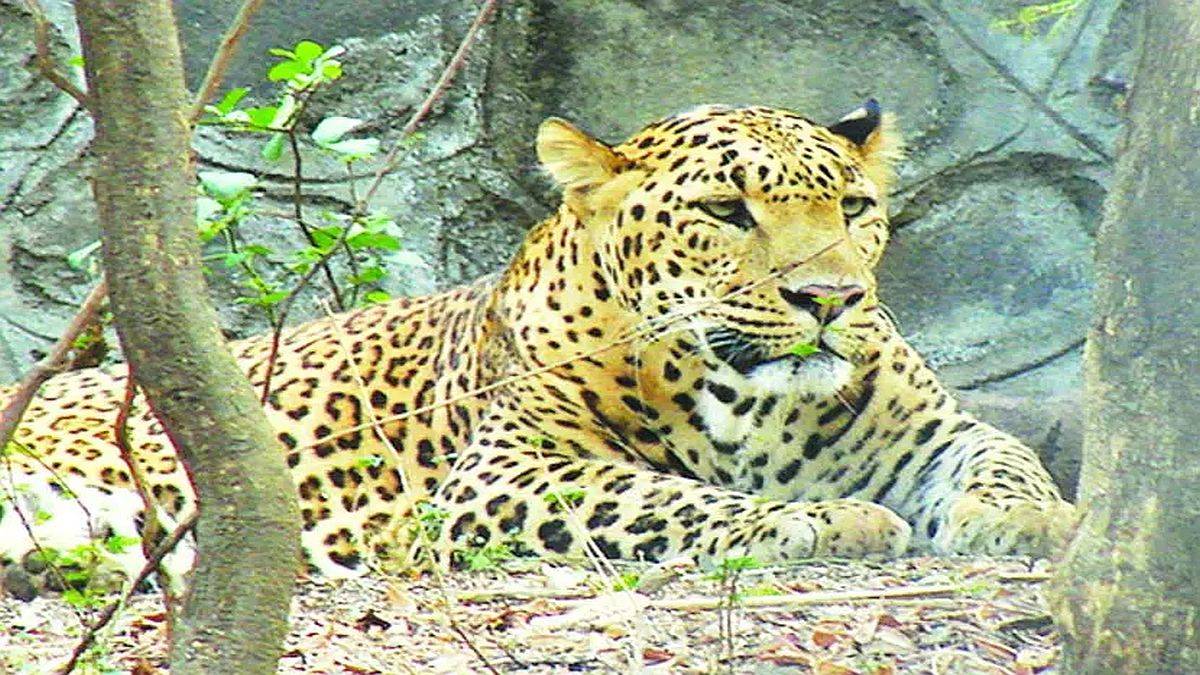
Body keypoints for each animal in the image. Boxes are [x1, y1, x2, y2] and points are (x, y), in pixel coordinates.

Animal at [0, 101, 1075, 595]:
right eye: (728, 211)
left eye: (854, 207)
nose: (833, 299)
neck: (753, 398)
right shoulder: (505, 475)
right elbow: (672, 497)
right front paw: (828, 518)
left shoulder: (933, 430)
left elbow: (1006, 456)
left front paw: (1043, 522)